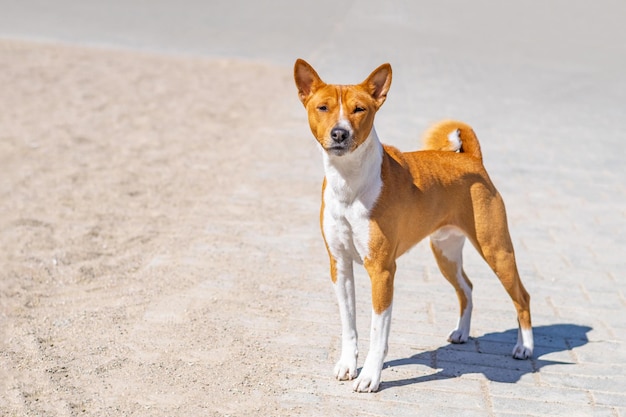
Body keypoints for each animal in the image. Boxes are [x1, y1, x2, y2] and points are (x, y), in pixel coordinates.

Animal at [292, 59, 532, 394]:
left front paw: (370, 377)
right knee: (467, 288)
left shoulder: (382, 270)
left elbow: (377, 331)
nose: (340, 133)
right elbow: (349, 324)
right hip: (445, 253)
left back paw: (525, 348)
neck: (349, 182)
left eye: (359, 109)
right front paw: (348, 365)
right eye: (323, 107)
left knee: (522, 297)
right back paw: (462, 332)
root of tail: (472, 159)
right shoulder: (339, 265)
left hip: (496, 251)